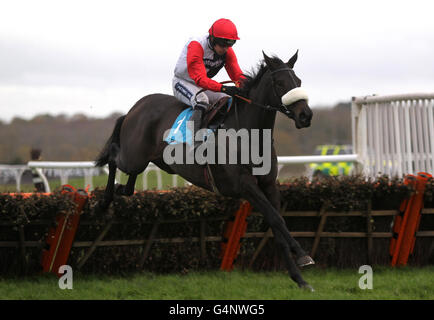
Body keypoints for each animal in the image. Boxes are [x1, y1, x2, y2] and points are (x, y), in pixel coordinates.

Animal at [95, 50, 314, 290]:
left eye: (299, 81)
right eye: (280, 83)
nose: (305, 115)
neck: (249, 134)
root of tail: (135, 107)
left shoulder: (268, 184)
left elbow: (277, 224)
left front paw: (300, 278)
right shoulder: (244, 185)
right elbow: (276, 219)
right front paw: (303, 255)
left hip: (149, 160)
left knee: (128, 184)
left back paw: (120, 190)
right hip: (133, 156)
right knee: (113, 157)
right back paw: (103, 201)